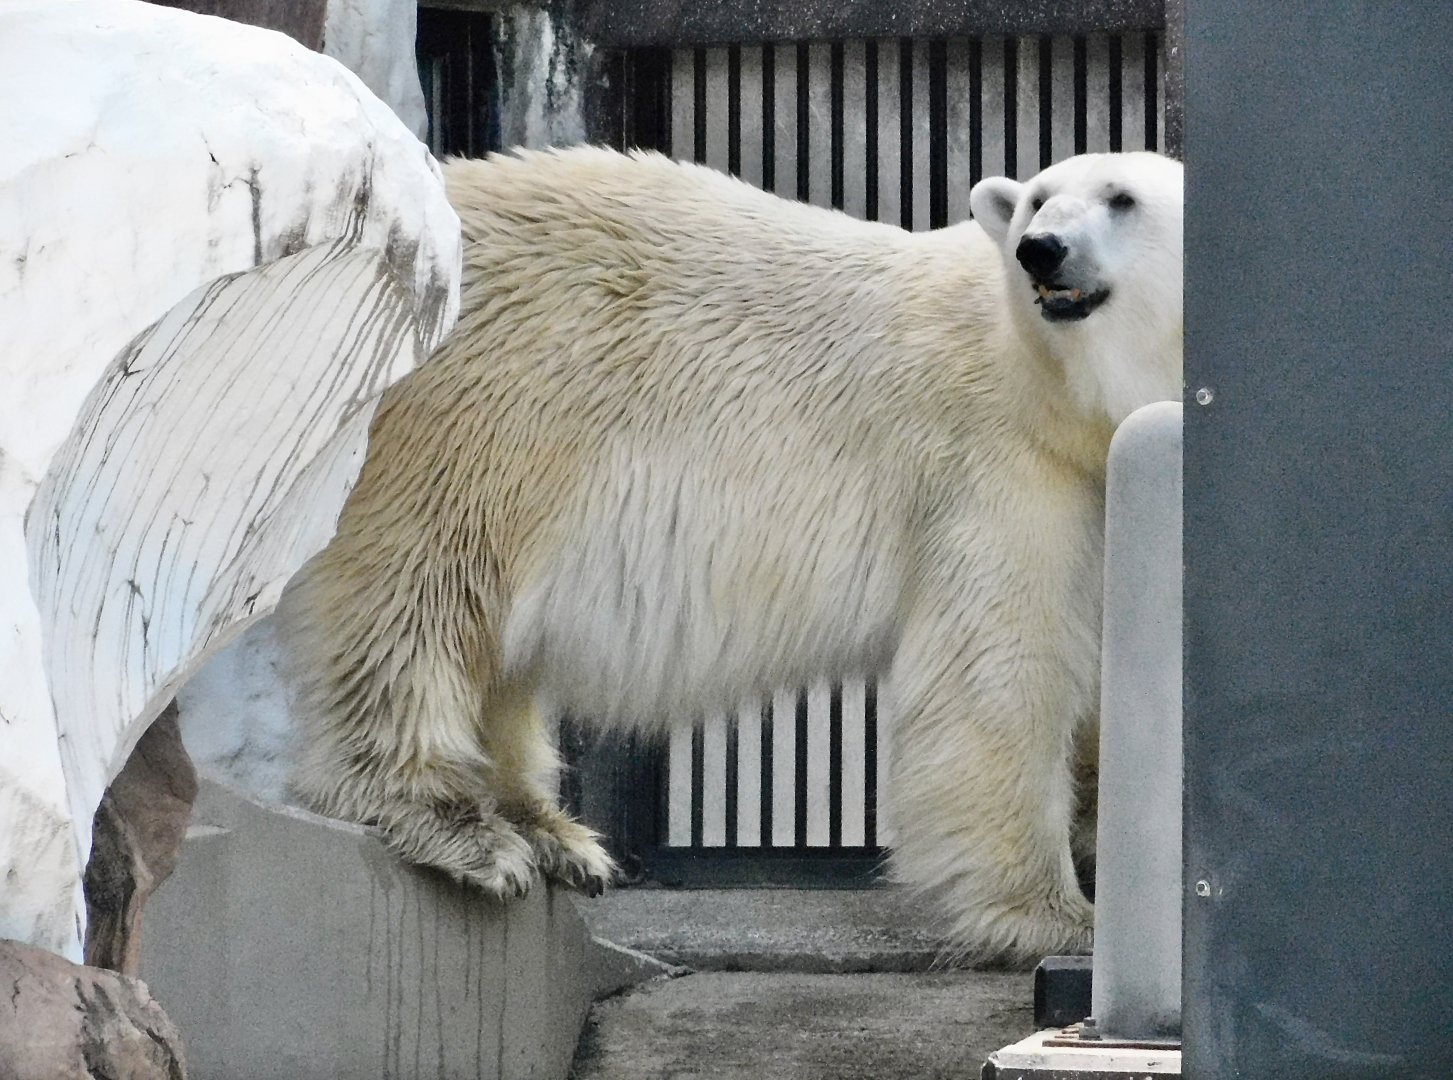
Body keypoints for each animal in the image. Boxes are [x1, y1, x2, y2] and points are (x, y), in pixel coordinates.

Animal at [280, 145, 1184, 966]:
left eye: (1121, 197)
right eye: (1035, 198)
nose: (1041, 248)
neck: (1051, 387)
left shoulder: (1093, 485)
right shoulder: (996, 464)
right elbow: (1005, 671)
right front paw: (1058, 919)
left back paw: (552, 833)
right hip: (469, 416)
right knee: (421, 598)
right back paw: (461, 827)